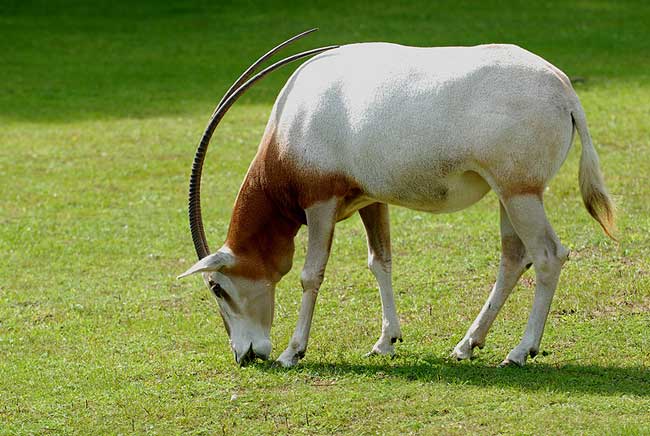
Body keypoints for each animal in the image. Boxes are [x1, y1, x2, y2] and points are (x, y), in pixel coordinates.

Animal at [177, 29, 612, 366]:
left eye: (216, 287)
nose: (245, 355)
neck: (291, 127)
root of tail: (564, 89)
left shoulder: (320, 202)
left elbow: (310, 274)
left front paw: (292, 352)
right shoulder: (371, 199)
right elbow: (380, 261)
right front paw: (386, 342)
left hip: (521, 194)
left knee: (547, 255)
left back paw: (520, 351)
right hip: (511, 195)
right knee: (514, 258)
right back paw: (467, 345)